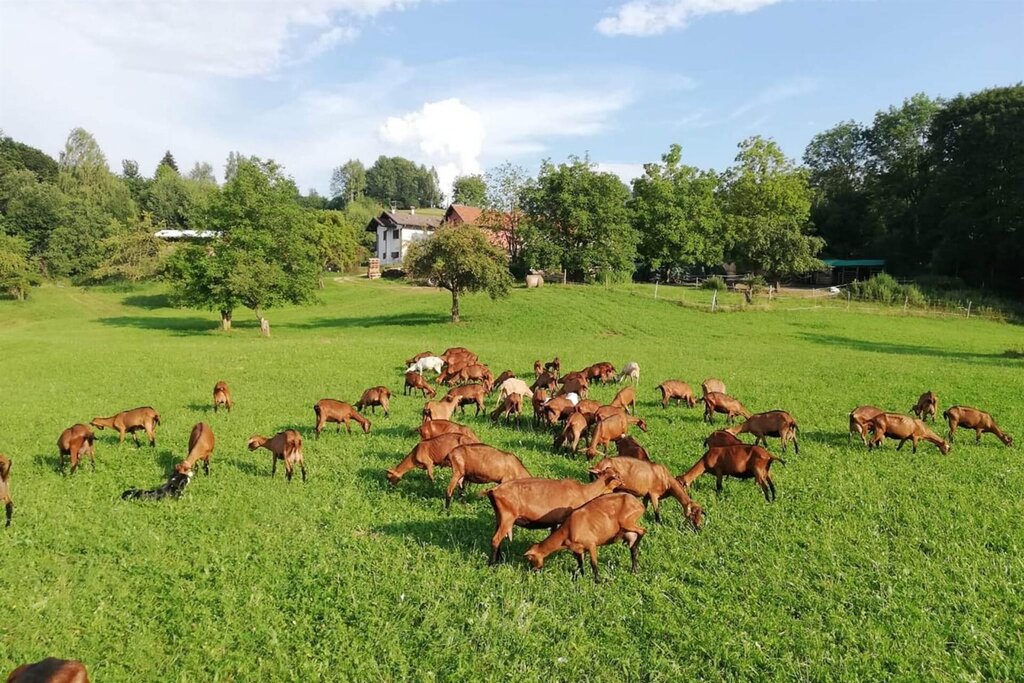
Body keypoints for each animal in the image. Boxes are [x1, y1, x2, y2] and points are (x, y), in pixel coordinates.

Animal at [484, 472, 621, 564]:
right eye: (617, 476)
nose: (623, 484)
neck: (584, 491)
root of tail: (492, 491)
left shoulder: (555, 521)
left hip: (500, 518)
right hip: (507, 517)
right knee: (495, 539)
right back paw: (492, 564)